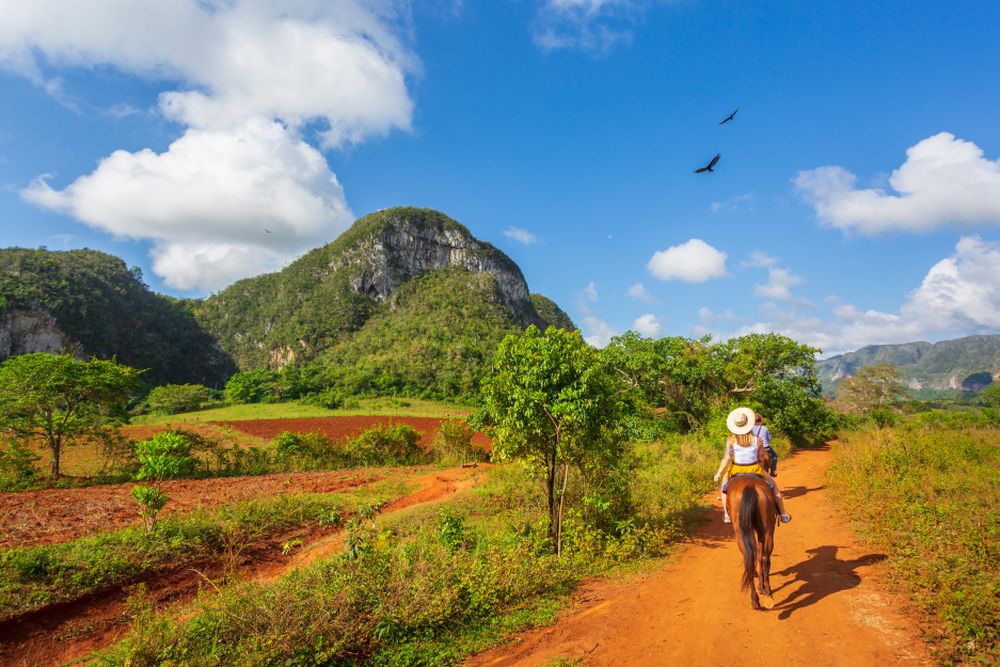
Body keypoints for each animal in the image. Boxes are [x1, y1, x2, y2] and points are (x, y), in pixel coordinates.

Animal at [728, 474, 780, 612]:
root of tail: (750, 486)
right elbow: (759, 556)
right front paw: (761, 586)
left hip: (744, 532)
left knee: (752, 559)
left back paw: (757, 598)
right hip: (766, 529)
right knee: (762, 557)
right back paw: (766, 593)